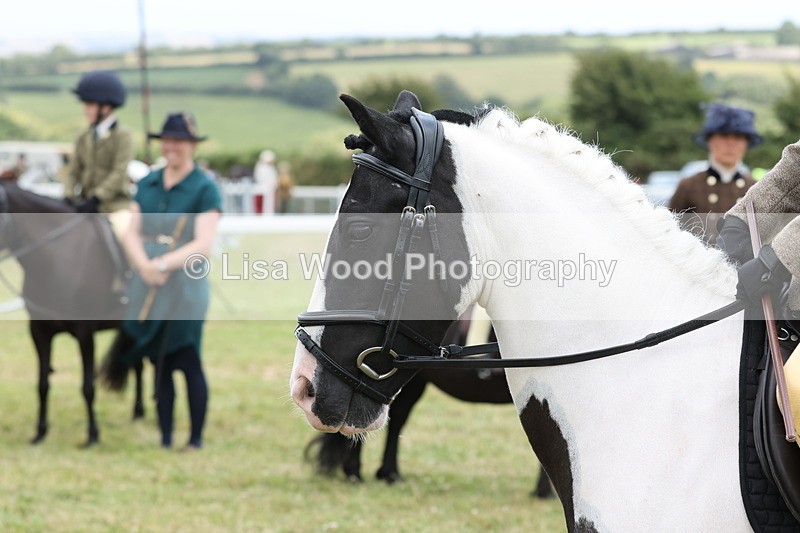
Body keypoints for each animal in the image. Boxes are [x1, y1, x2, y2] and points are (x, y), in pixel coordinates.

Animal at [0, 181, 144, 446]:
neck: (58, 260)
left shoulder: (84, 334)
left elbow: (88, 386)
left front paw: (93, 435)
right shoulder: (39, 332)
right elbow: (42, 384)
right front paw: (40, 432)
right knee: (137, 362)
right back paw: (138, 412)